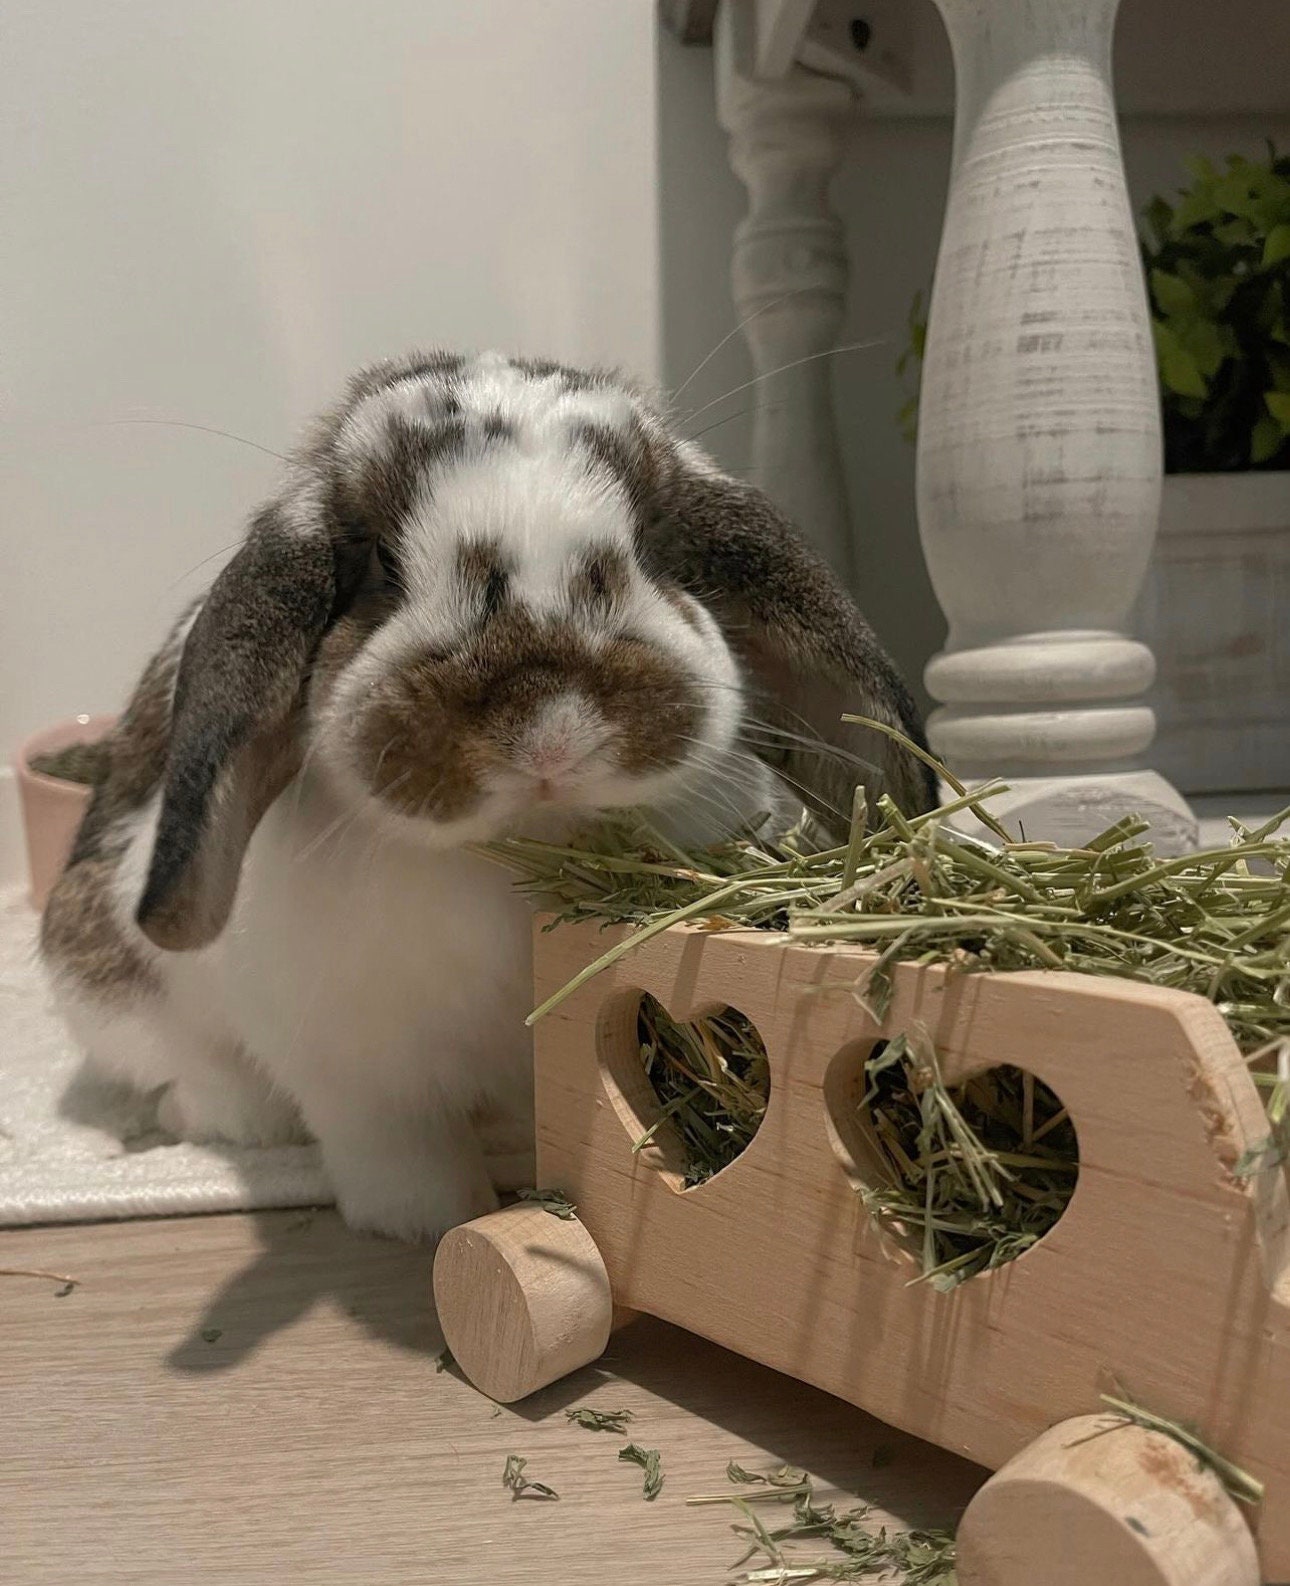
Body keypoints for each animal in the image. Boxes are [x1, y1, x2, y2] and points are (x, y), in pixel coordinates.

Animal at [40, 349, 936, 1242]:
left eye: (654, 545)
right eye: (379, 563)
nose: (549, 728)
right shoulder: (360, 1079)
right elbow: (403, 1163)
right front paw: (433, 1225)